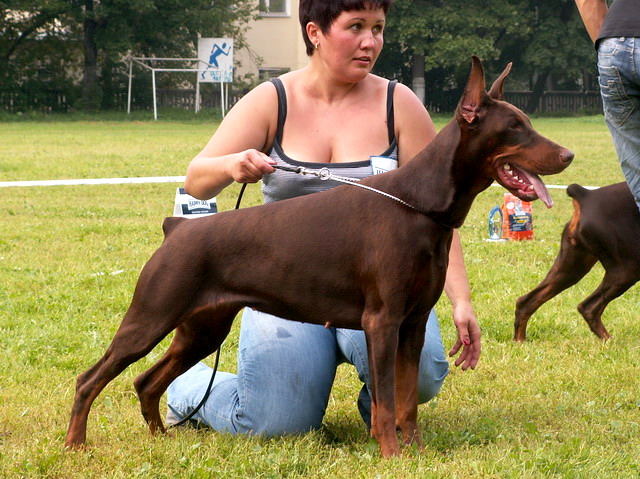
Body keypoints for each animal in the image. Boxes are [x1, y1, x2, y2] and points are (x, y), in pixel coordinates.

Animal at [515, 182, 640, 342]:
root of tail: (586, 195)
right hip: (627, 269)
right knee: (588, 307)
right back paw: (609, 341)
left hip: (571, 267)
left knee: (526, 301)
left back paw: (520, 341)